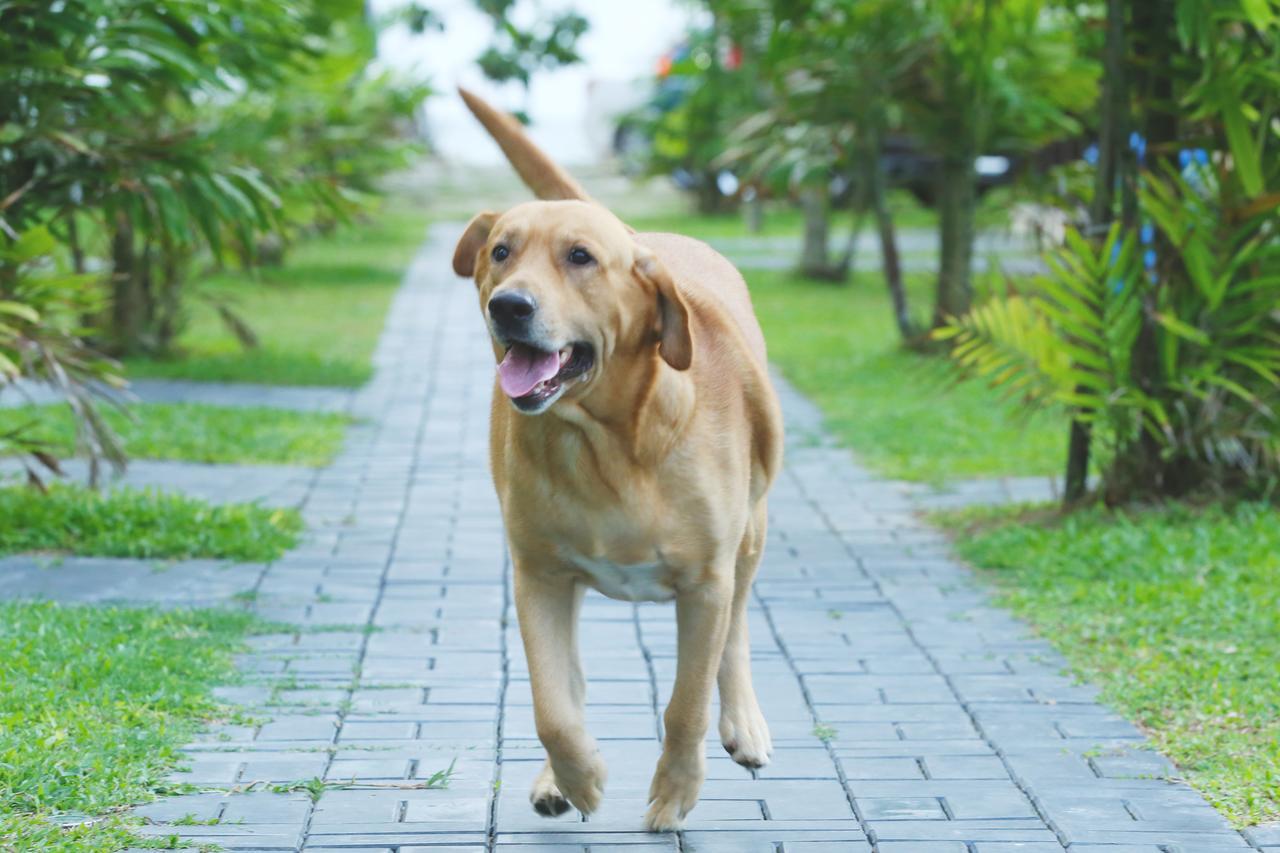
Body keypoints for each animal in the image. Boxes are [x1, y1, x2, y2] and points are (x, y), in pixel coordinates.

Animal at [455, 89, 783, 824]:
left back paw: (745, 723)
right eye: (501, 250)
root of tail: (648, 237)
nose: (508, 305)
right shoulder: (539, 575)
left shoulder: (706, 583)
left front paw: (675, 793)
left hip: (752, 531)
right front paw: (577, 777)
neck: (605, 442)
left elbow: (687, 703)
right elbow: (554, 704)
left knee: (737, 631)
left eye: (580, 257)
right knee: (570, 682)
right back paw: (555, 777)